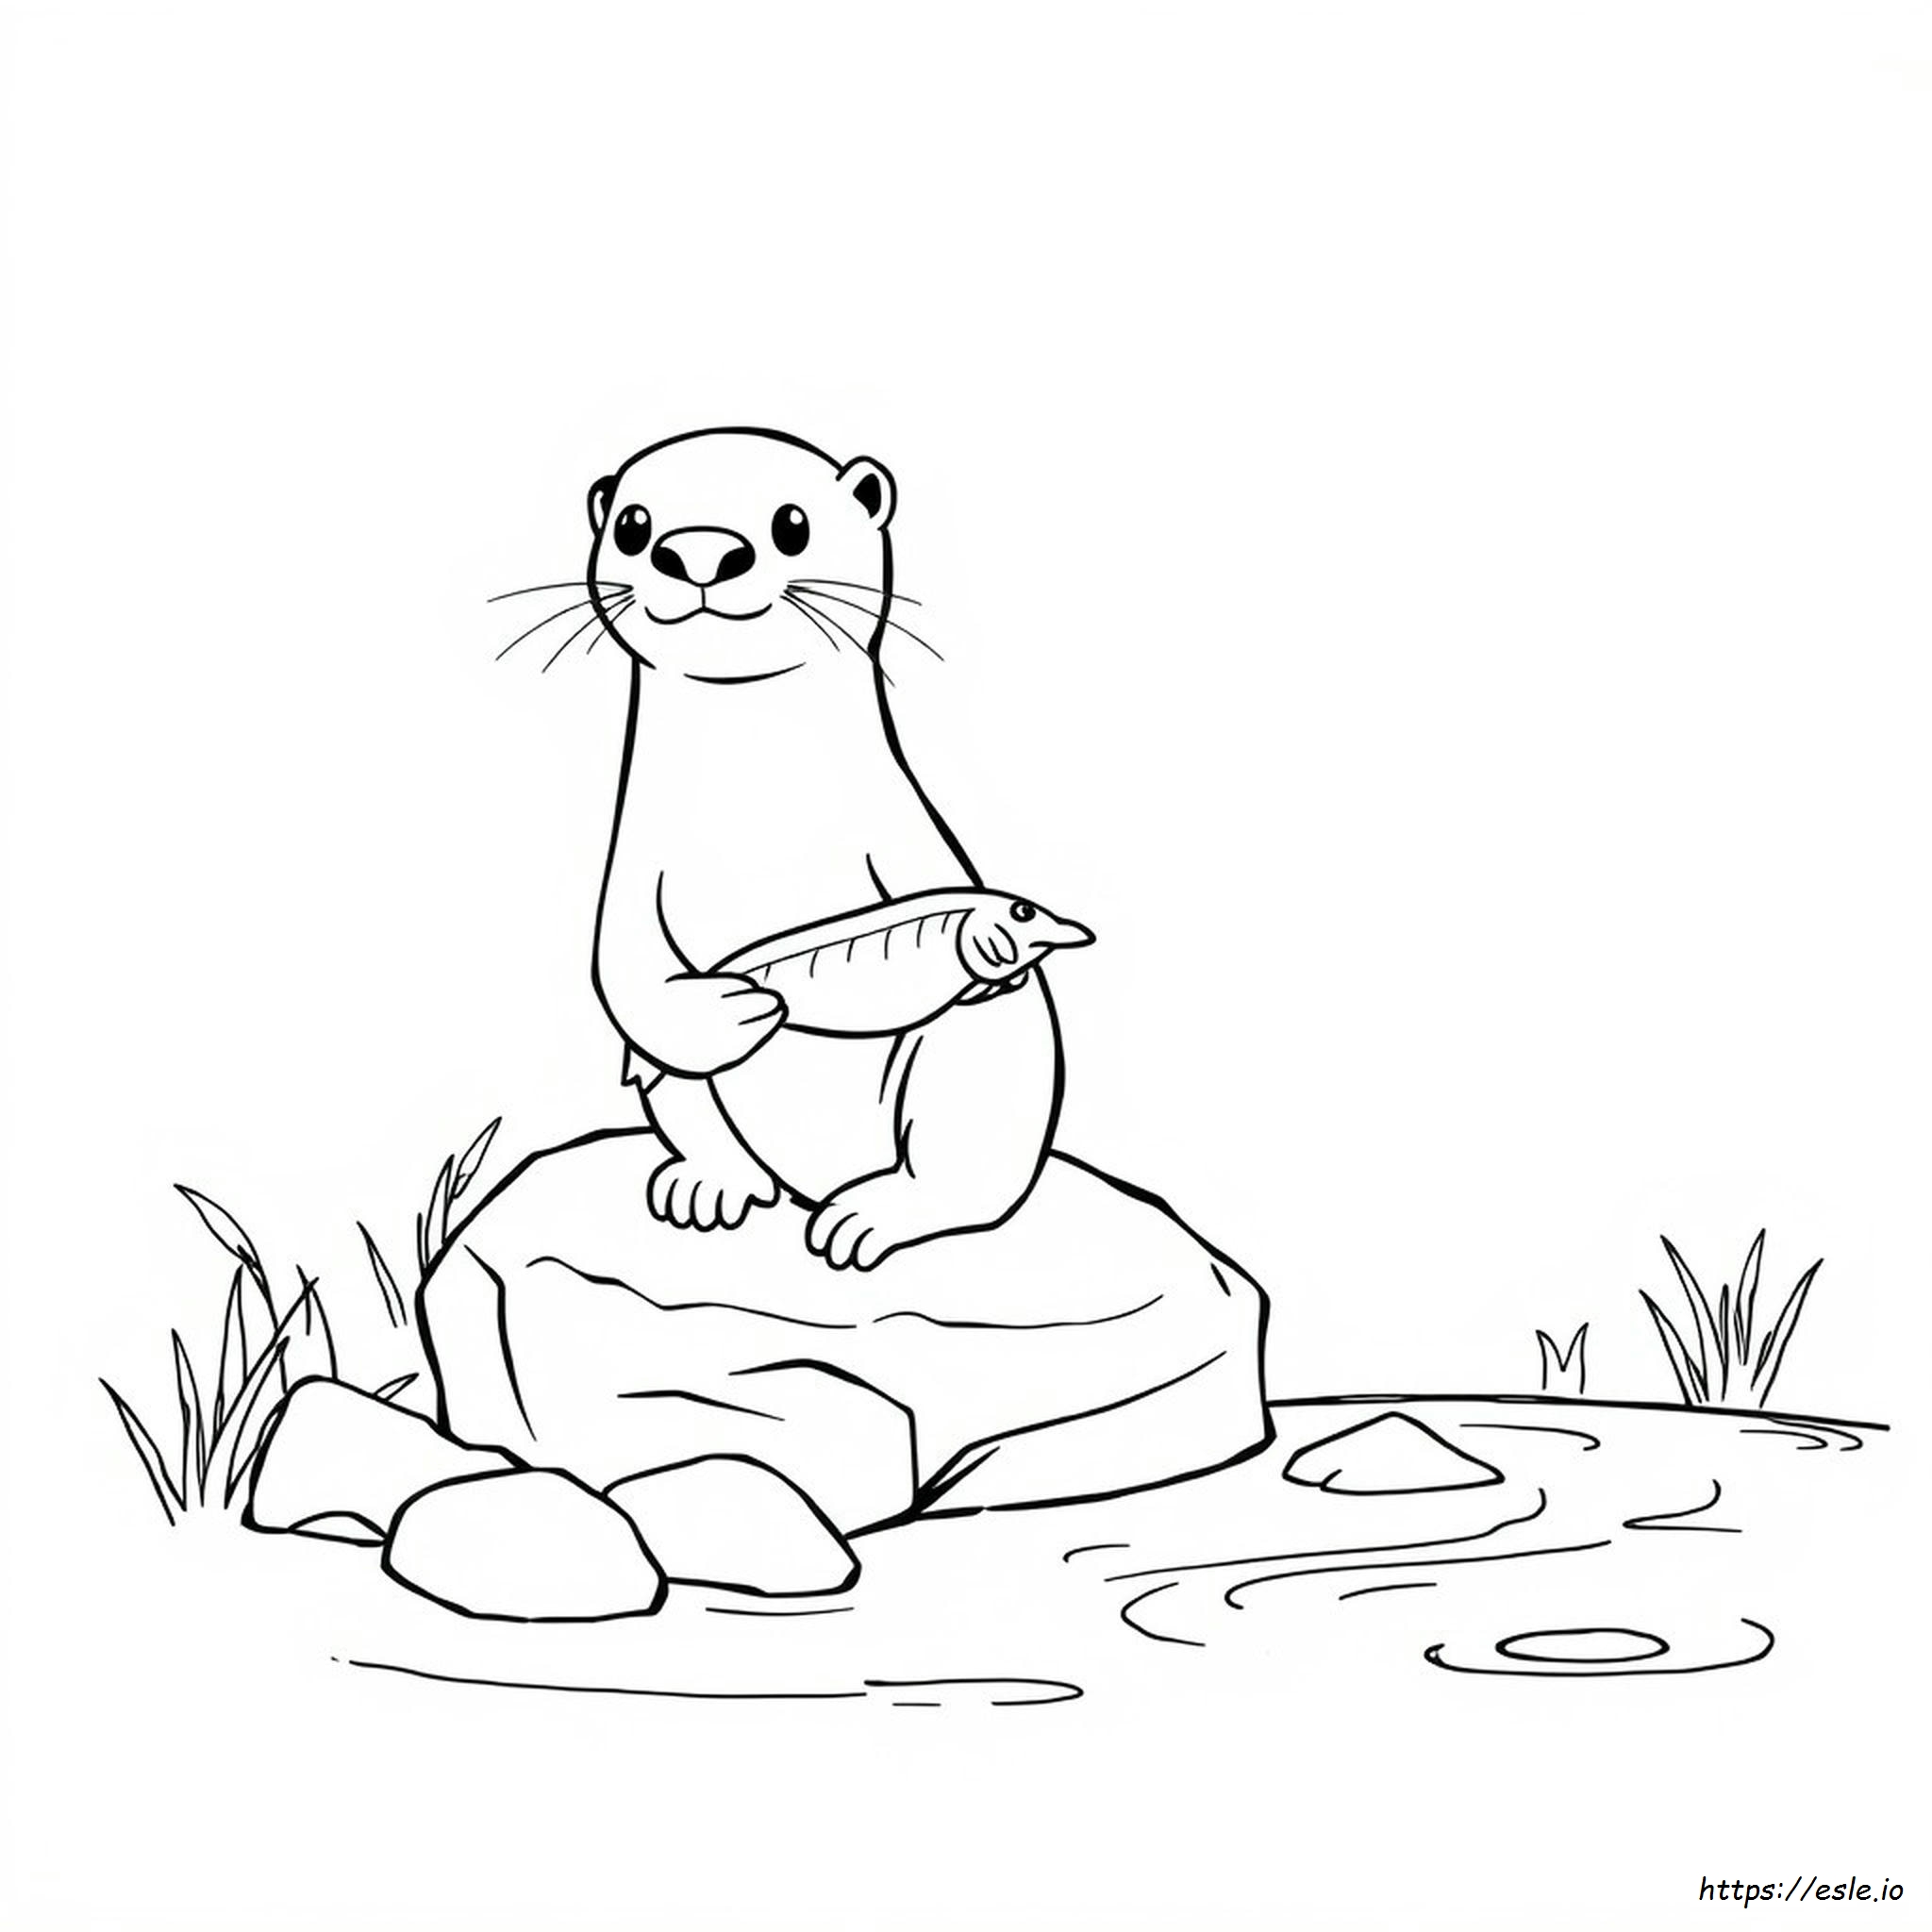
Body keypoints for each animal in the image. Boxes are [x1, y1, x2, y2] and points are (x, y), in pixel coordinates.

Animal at [585, 427, 1068, 1272]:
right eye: (634, 527)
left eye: (792, 524)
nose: (700, 550)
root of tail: (815, 1181)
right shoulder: (632, 868)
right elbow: (623, 965)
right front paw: (737, 1008)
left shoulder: (910, 843)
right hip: (677, 1088)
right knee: (692, 1102)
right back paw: (709, 1186)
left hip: (969, 1069)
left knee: (963, 1166)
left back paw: (872, 1217)